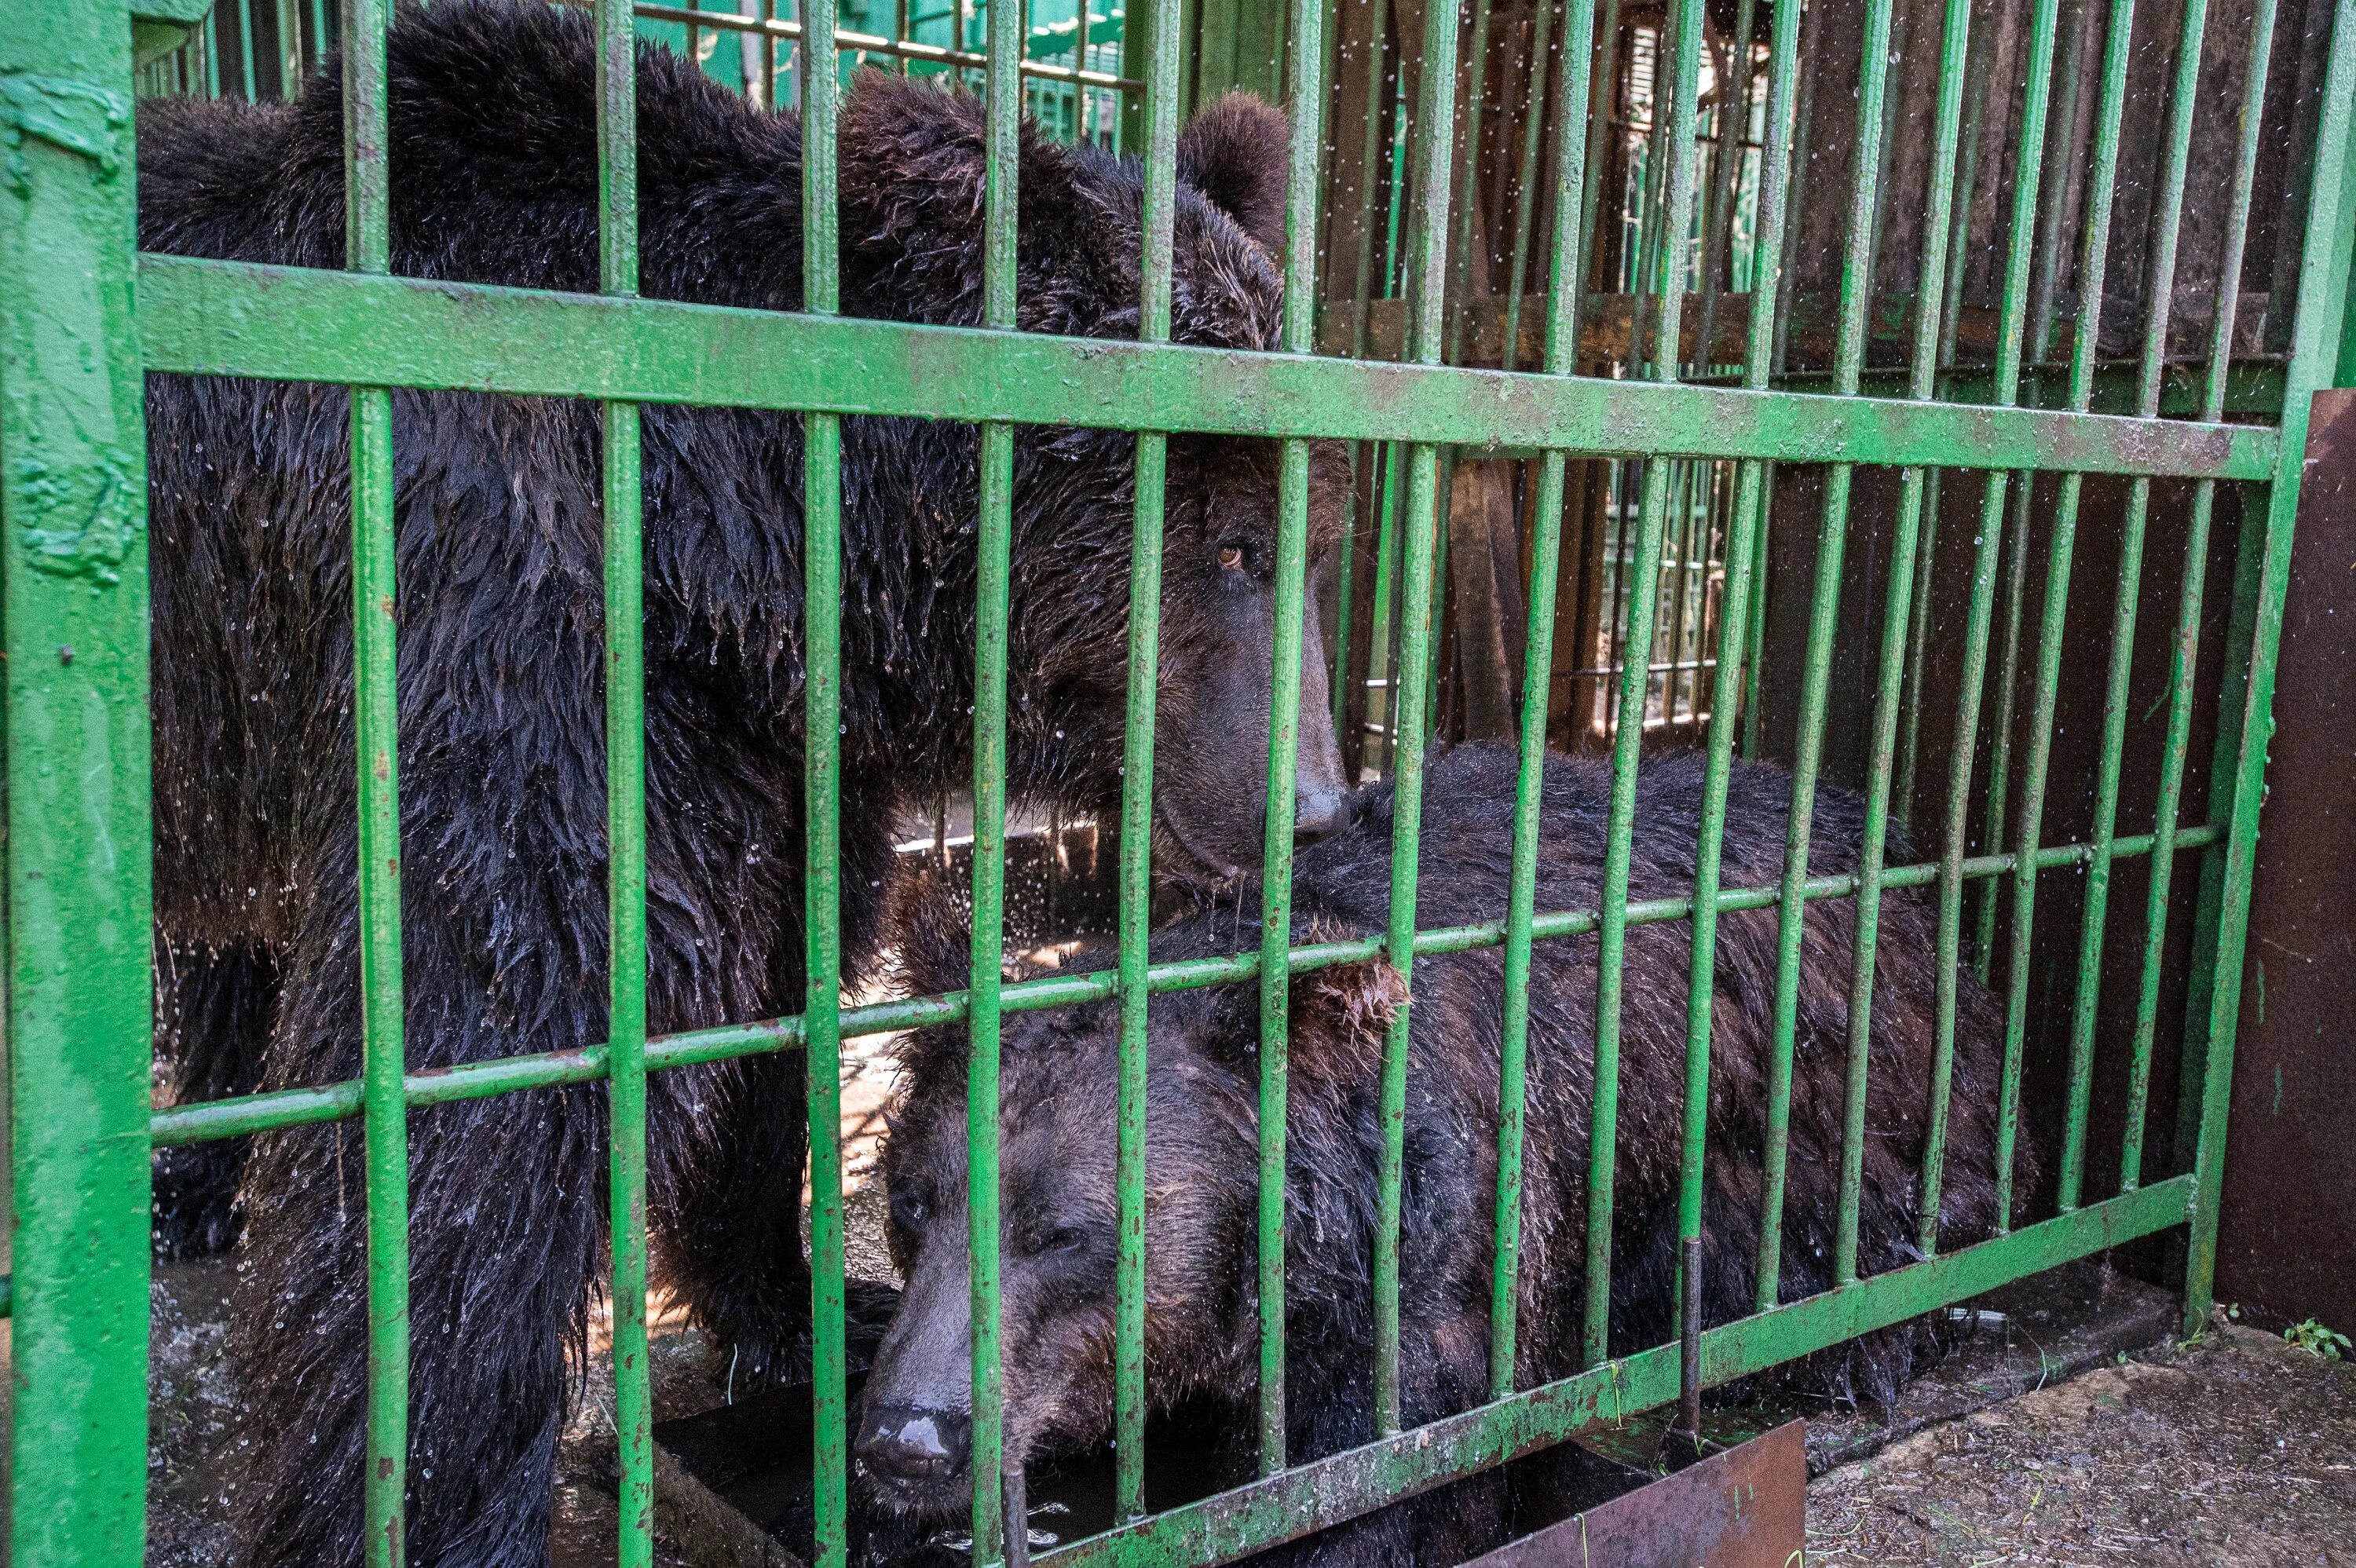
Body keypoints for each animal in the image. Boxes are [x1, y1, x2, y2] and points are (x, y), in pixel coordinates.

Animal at [137, 5, 1357, 1554]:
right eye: (1232, 546)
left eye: (1313, 542)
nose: (1309, 805)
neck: (733, 530)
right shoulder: (506, 608)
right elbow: (483, 1089)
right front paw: (437, 1493)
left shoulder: (776, 749)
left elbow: (771, 994)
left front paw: (808, 1299)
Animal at [867, 744, 2026, 1563]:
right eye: (913, 1201)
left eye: (1063, 1230)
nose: (909, 1434)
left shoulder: (1426, 1285)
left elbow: (1385, 1492)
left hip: (1853, 1092)